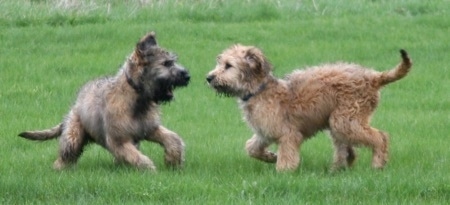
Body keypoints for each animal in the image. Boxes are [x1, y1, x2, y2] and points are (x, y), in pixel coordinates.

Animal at [18, 31, 188, 170]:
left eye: (172, 61)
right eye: (166, 63)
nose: (187, 75)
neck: (136, 99)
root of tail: (75, 105)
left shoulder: (149, 128)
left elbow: (172, 138)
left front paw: (173, 160)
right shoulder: (118, 139)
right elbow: (134, 155)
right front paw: (149, 168)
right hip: (74, 134)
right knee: (66, 154)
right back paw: (60, 168)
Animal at [207, 45, 412, 171]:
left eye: (228, 65)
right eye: (220, 63)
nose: (208, 77)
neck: (259, 90)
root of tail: (373, 77)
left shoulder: (288, 134)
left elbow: (287, 157)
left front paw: (282, 173)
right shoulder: (264, 133)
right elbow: (251, 148)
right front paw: (270, 156)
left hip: (345, 120)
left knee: (380, 137)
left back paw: (377, 164)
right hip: (339, 122)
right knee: (344, 148)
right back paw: (338, 168)